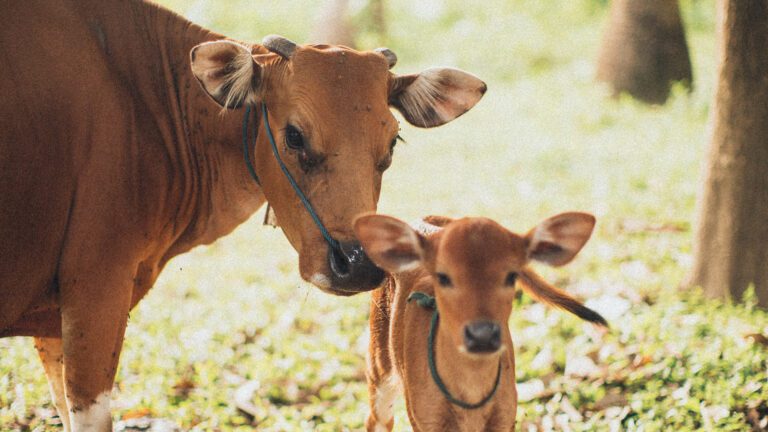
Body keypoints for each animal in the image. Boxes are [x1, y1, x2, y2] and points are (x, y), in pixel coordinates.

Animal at [353, 213, 607, 431]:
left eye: (511, 275)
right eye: (443, 276)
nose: (482, 335)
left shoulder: (506, 417)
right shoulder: (423, 419)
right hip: (378, 366)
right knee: (377, 419)